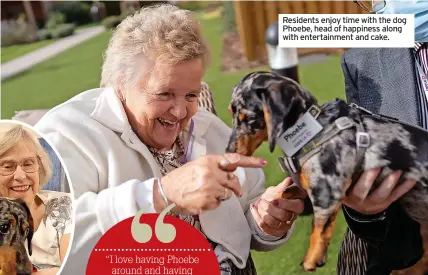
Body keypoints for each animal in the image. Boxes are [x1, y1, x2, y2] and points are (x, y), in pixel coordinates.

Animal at [224, 70, 428, 272]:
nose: (228, 154)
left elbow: (319, 228)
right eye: (231, 114)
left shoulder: (326, 192)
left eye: (249, 119)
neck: (311, 129)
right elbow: (287, 192)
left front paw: (312, 259)